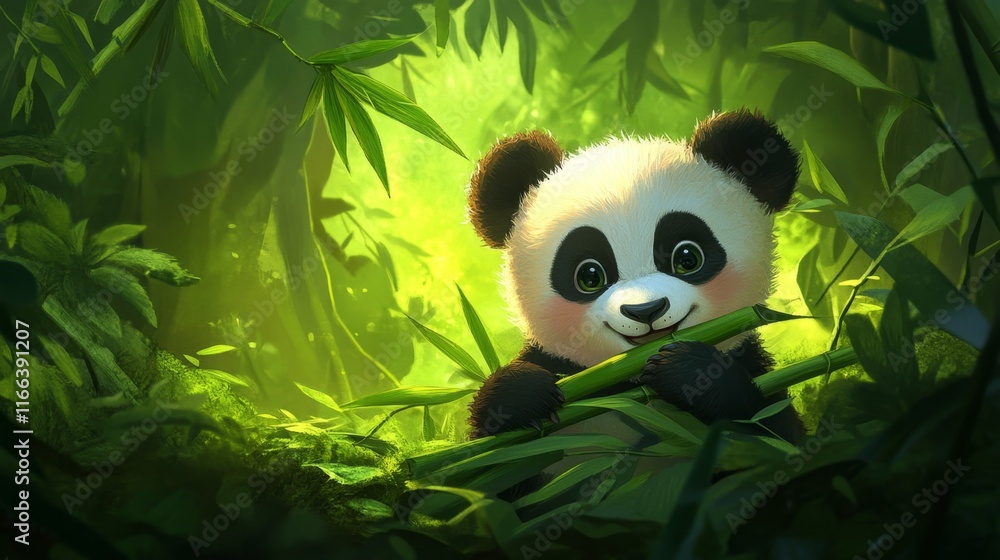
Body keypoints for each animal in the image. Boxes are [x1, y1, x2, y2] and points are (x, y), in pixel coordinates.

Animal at [465, 109, 803, 449]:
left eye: (687, 258)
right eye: (589, 276)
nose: (645, 311)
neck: (630, 382)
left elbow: (774, 432)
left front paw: (689, 371)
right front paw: (521, 393)